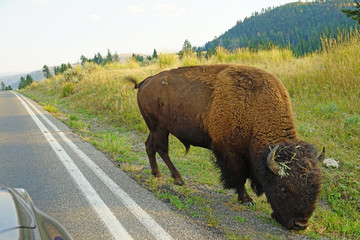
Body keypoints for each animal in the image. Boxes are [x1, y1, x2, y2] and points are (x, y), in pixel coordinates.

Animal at [128, 64, 324, 230]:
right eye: (284, 188)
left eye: (316, 188)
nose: (300, 224)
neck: (255, 109)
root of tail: (146, 81)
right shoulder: (231, 154)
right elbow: (239, 177)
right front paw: (246, 199)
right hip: (159, 128)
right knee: (162, 149)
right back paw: (178, 179)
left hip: (155, 129)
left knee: (150, 146)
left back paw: (157, 174)